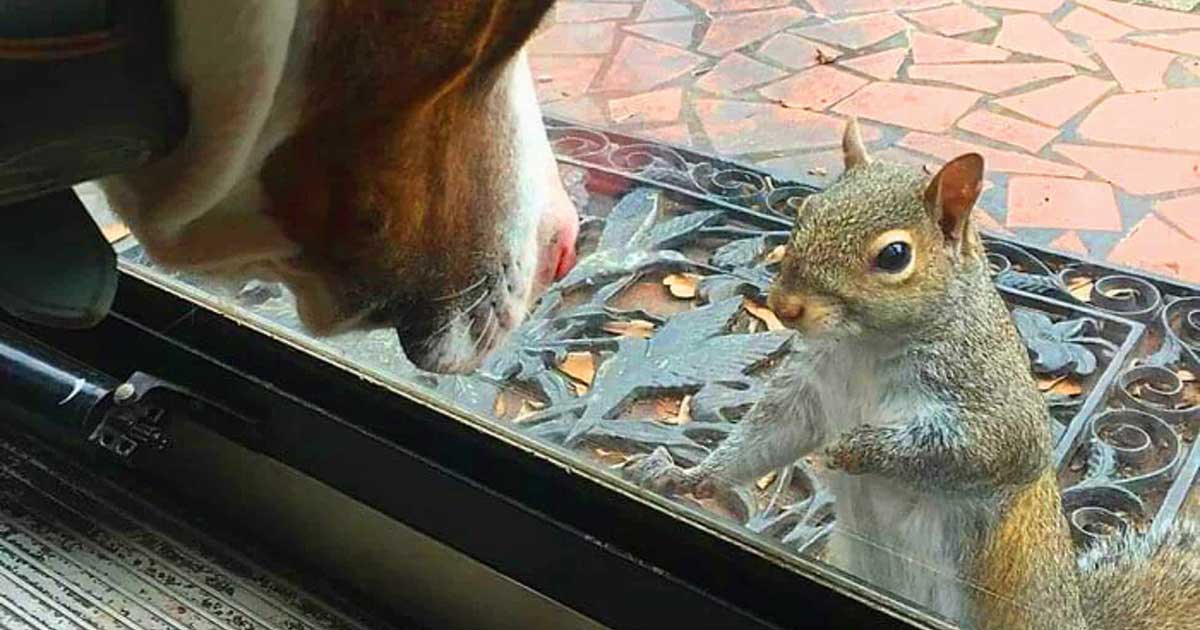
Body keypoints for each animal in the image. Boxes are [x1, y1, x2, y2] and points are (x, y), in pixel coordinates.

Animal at [624, 121, 1200, 628]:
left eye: (895, 255)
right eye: (806, 209)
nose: (784, 306)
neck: (866, 347)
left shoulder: (991, 396)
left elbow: (982, 449)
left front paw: (856, 448)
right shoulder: (809, 390)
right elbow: (764, 438)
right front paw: (689, 475)